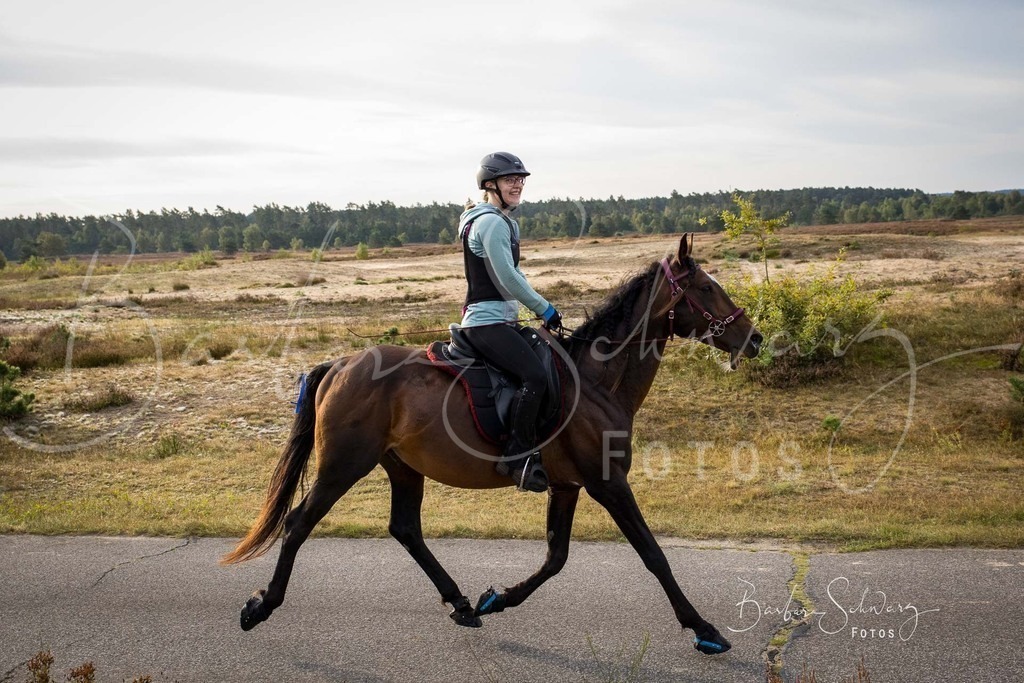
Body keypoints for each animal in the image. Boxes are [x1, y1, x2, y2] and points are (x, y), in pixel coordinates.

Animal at [222, 233, 763, 656]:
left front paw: (497, 598)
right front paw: (704, 628)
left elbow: (555, 558)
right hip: (343, 464)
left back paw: (461, 604)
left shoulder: (567, 486)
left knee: (406, 529)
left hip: (402, 466)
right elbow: (653, 555)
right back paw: (261, 605)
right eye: (707, 288)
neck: (596, 381)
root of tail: (339, 364)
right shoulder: (607, 482)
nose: (754, 338)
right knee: (299, 523)